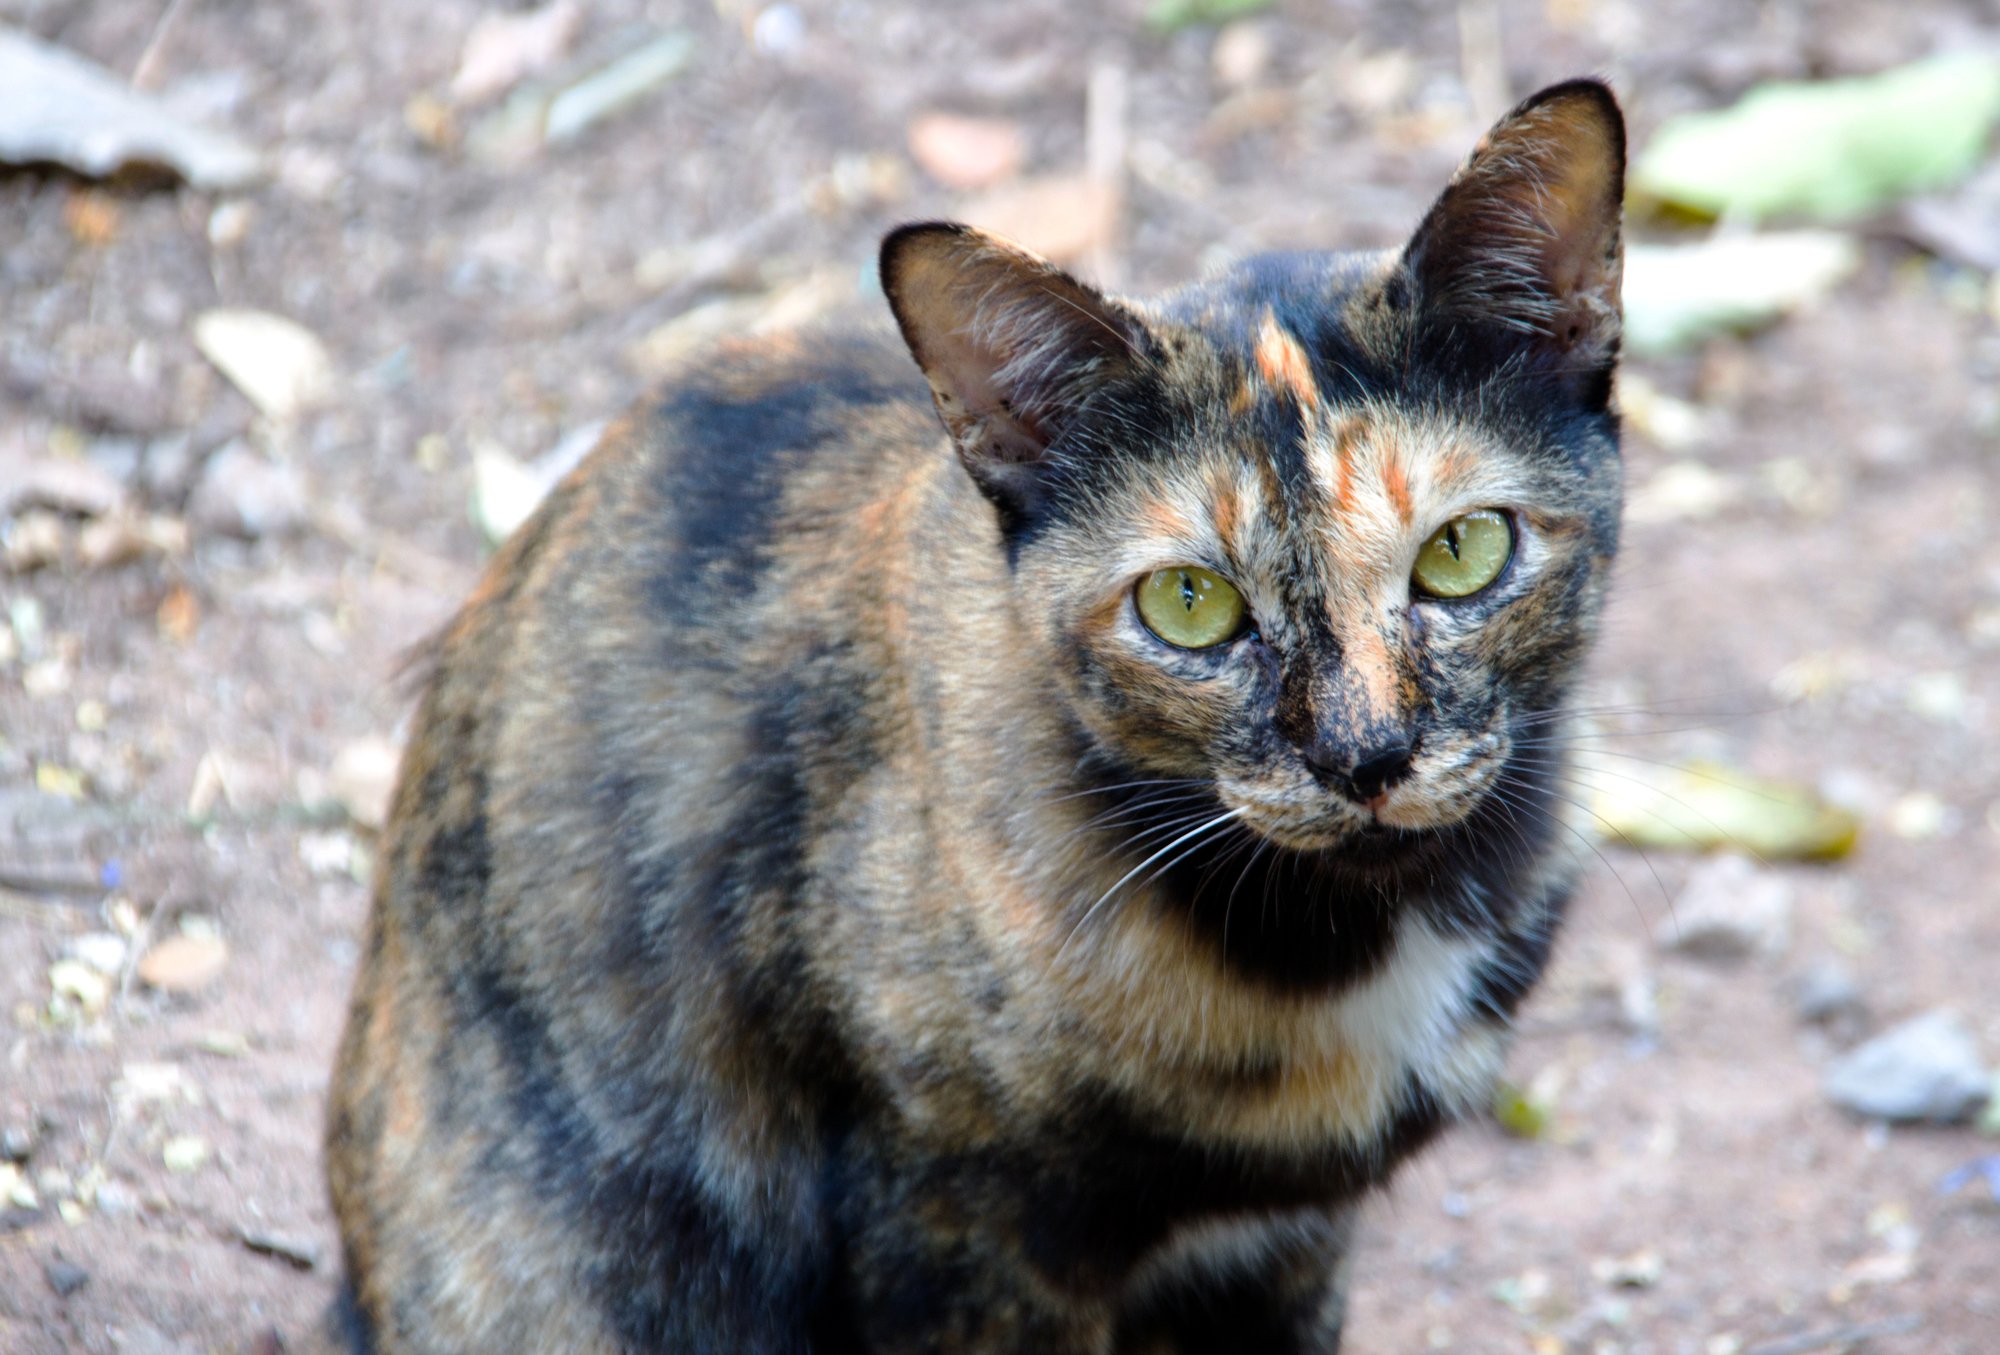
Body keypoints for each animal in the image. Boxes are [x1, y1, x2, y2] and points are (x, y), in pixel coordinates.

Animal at [324, 76, 1624, 1355]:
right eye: (1187, 603)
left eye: (1462, 550)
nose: (1364, 752)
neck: (1344, 941)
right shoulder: (950, 1224)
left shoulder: (1286, 1246)